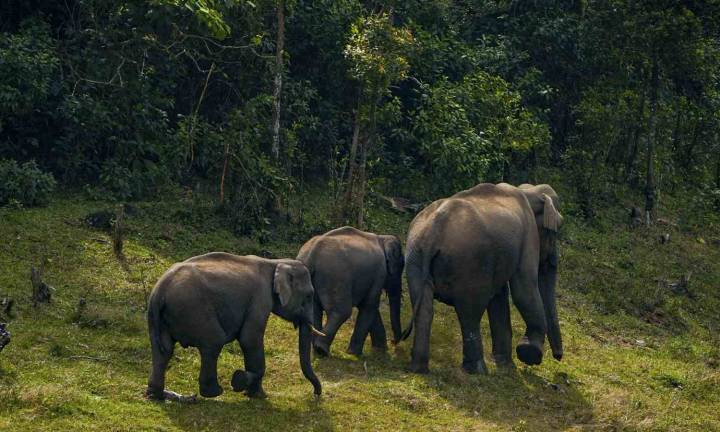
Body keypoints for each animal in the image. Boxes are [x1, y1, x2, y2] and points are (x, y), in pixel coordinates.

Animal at [145, 253, 323, 400]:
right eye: (309, 296)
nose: (315, 395)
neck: (275, 263)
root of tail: (160, 291)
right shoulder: (260, 298)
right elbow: (250, 339)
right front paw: (249, 388)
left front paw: (250, 390)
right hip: (193, 309)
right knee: (214, 341)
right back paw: (214, 392)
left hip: (158, 318)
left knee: (164, 350)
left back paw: (156, 395)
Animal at [296, 226, 404, 357]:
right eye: (400, 267)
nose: (393, 341)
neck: (382, 238)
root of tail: (311, 255)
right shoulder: (380, 273)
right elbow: (369, 305)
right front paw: (354, 353)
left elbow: (369, 306)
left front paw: (380, 349)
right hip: (336, 277)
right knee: (342, 311)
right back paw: (321, 350)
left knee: (314, 311)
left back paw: (316, 351)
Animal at [400, 183, 563, 374]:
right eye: (556, 230)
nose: (558, 356)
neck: (529, 191)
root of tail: (433, 231)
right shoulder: (529, 236)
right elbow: (524, 288)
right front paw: (529, 353)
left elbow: (499, 297)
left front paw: (506, 365)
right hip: (470, 262)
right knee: (470, 312)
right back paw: (477, 371)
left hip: (415, 256)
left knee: (425, 309)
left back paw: (418, 368)